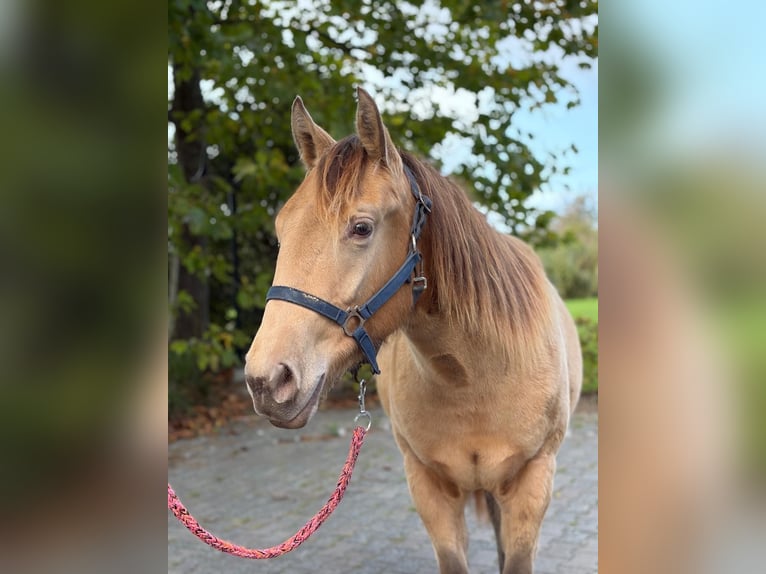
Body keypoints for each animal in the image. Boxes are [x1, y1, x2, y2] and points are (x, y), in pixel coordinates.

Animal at [244, 87, 582, 574]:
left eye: (361, 228)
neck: (473, 377)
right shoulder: (427, 486)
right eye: (281, 229)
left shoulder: (532, 481)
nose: (268, 380)